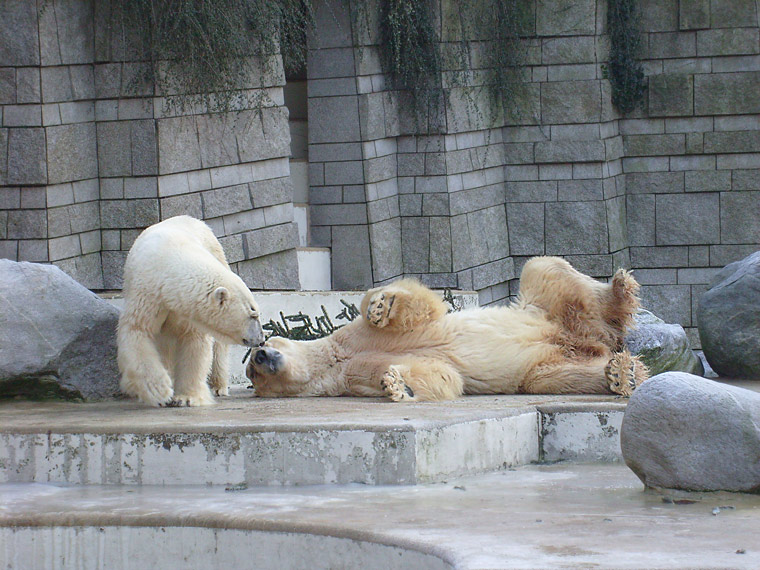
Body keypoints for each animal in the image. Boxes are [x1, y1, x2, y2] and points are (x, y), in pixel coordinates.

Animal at [116, 213, 264, 404]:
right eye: (253, 313)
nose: (261, 340)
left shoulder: (189, 310)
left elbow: (194, 343)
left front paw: (186, 397)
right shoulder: (147, 293)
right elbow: (137, 330)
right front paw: (160, 390)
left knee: (218, 348)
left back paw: (218, 386)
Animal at [246, 258, 652, 400]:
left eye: (256, 354)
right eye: (252, 374)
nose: (261, 354)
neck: (333, 358)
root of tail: (593, 338)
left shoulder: (350, 337)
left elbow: (420, 309)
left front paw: (381, 305)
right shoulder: (349, 376)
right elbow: (441, 375)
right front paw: (398, 385)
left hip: (545, 309)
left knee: (544, 270)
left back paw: (620, 288)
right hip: (550, 361)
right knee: (558, 377)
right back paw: (622, 373)